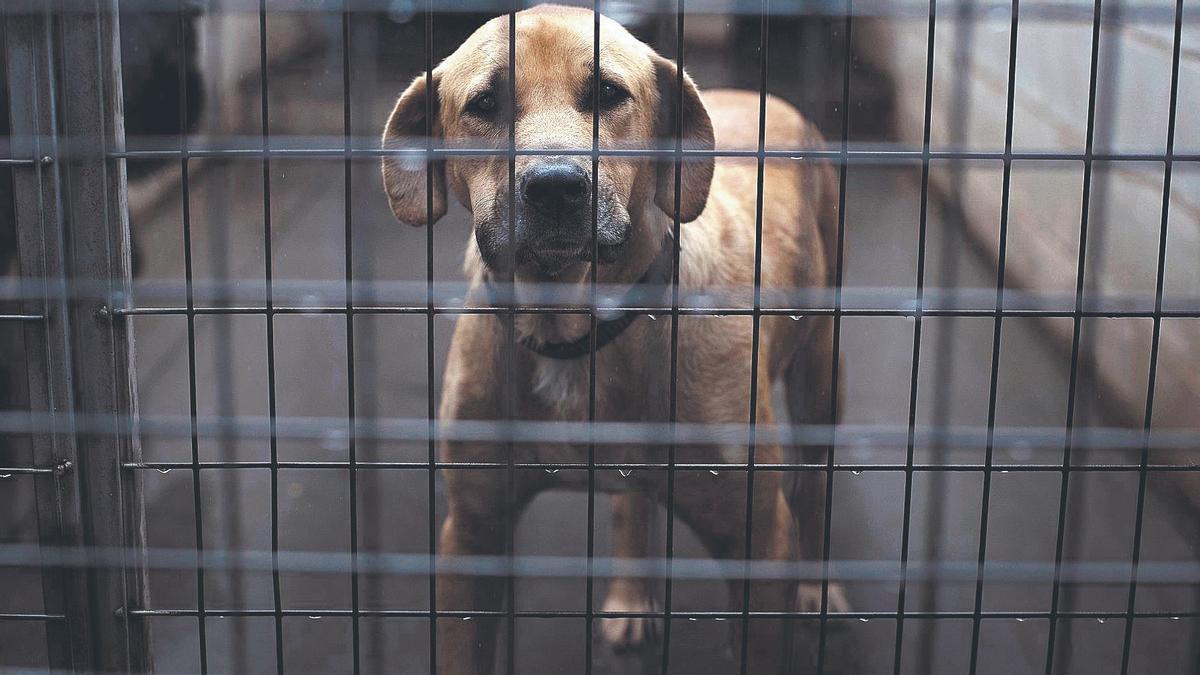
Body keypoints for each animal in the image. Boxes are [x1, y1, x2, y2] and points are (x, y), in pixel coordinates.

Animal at [381, 3, 844, 667]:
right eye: (486, 103)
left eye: (607, 94)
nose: (555, 186)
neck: (571, 327)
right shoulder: (470, 537)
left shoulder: (758, 538)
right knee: (634, 501)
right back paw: (630, 594)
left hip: (821, 382)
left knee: (813, 486)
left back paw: (816, 588)